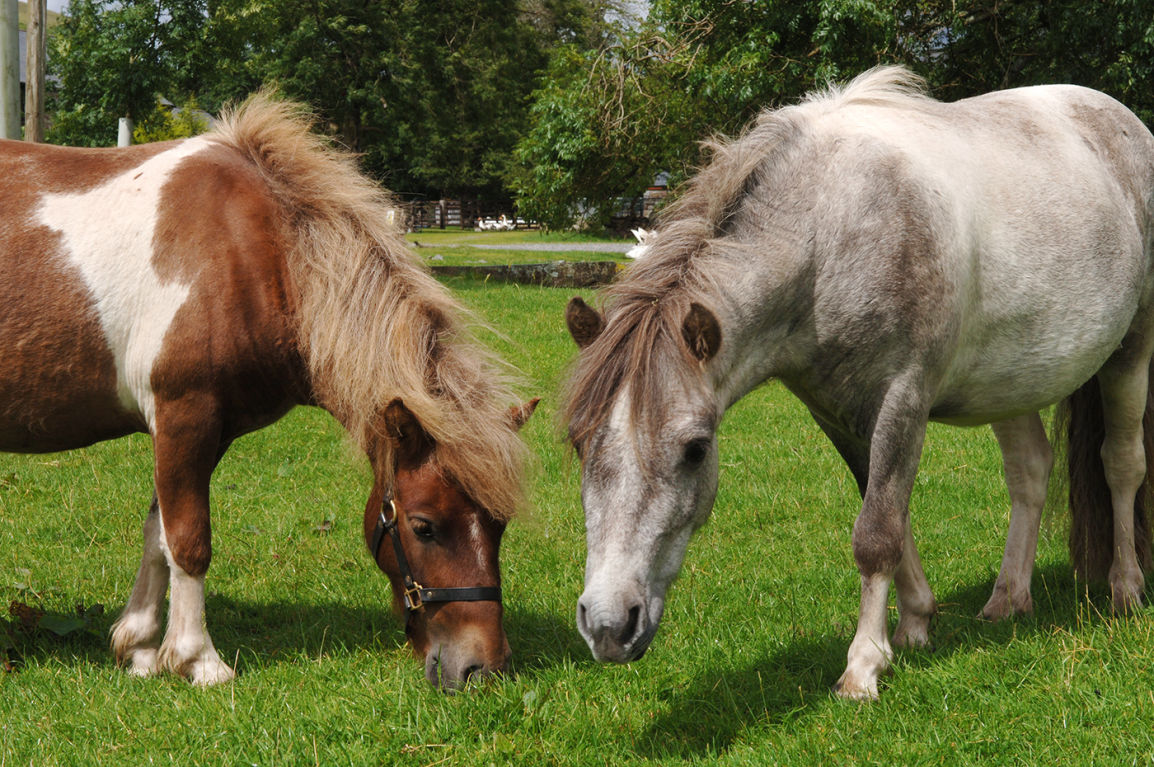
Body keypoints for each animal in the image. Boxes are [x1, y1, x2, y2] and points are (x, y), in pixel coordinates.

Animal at [0, 94, 536, 691]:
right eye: (424, 526)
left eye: (499, 524)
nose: (483, 668)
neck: (254, 253)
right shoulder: (185, 416)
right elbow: (189, 541)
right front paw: (198, 660)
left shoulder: (208, 432)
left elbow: (158, 535)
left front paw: (138, 647)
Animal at [562, 66, 1154, 700]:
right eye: (578, 443)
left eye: (696, 450)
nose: (608, 625)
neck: (831, 234)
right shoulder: (837, 416)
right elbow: (892, 516)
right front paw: (914, 625)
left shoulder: (902, 401)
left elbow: (877, 534)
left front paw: (864, 665)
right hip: (1011, 380)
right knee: (1030, 472)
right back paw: (1008, 599)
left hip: (1131, 350)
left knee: (1121, 464)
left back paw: (1124, 588)